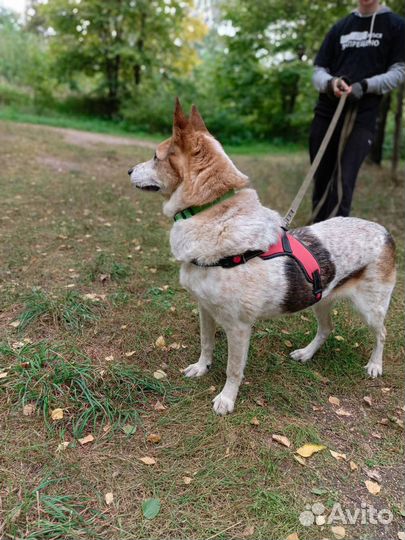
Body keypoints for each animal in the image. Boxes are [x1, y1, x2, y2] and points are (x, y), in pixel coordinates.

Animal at [129, 99, 394, 416]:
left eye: (154, 157)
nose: (129, 170)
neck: (214, 214)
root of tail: (384, 231)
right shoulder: (205, 309)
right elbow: (206, 344)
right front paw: (201, 368)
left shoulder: (238, 327)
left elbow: (233, 369)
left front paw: (226, 399)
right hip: (320, 298)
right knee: (326, 329)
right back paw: (306, 353)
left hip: (371, 308)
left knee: (382, 334)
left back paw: (375, 365)